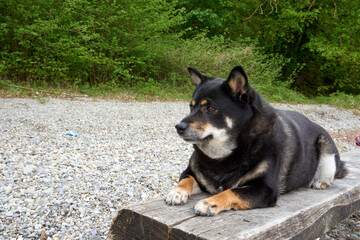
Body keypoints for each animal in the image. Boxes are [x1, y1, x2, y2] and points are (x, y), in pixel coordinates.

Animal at [165, 65, 348, 216]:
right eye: (191, 107)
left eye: (210, 108)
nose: (179, 127)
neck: (223, 155)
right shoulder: (191, 172)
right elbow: (186, 180)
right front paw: (176, 192)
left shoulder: (265, 190)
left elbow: (231, 191)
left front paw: (211, 202)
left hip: (326, 149)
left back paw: (319, 182)